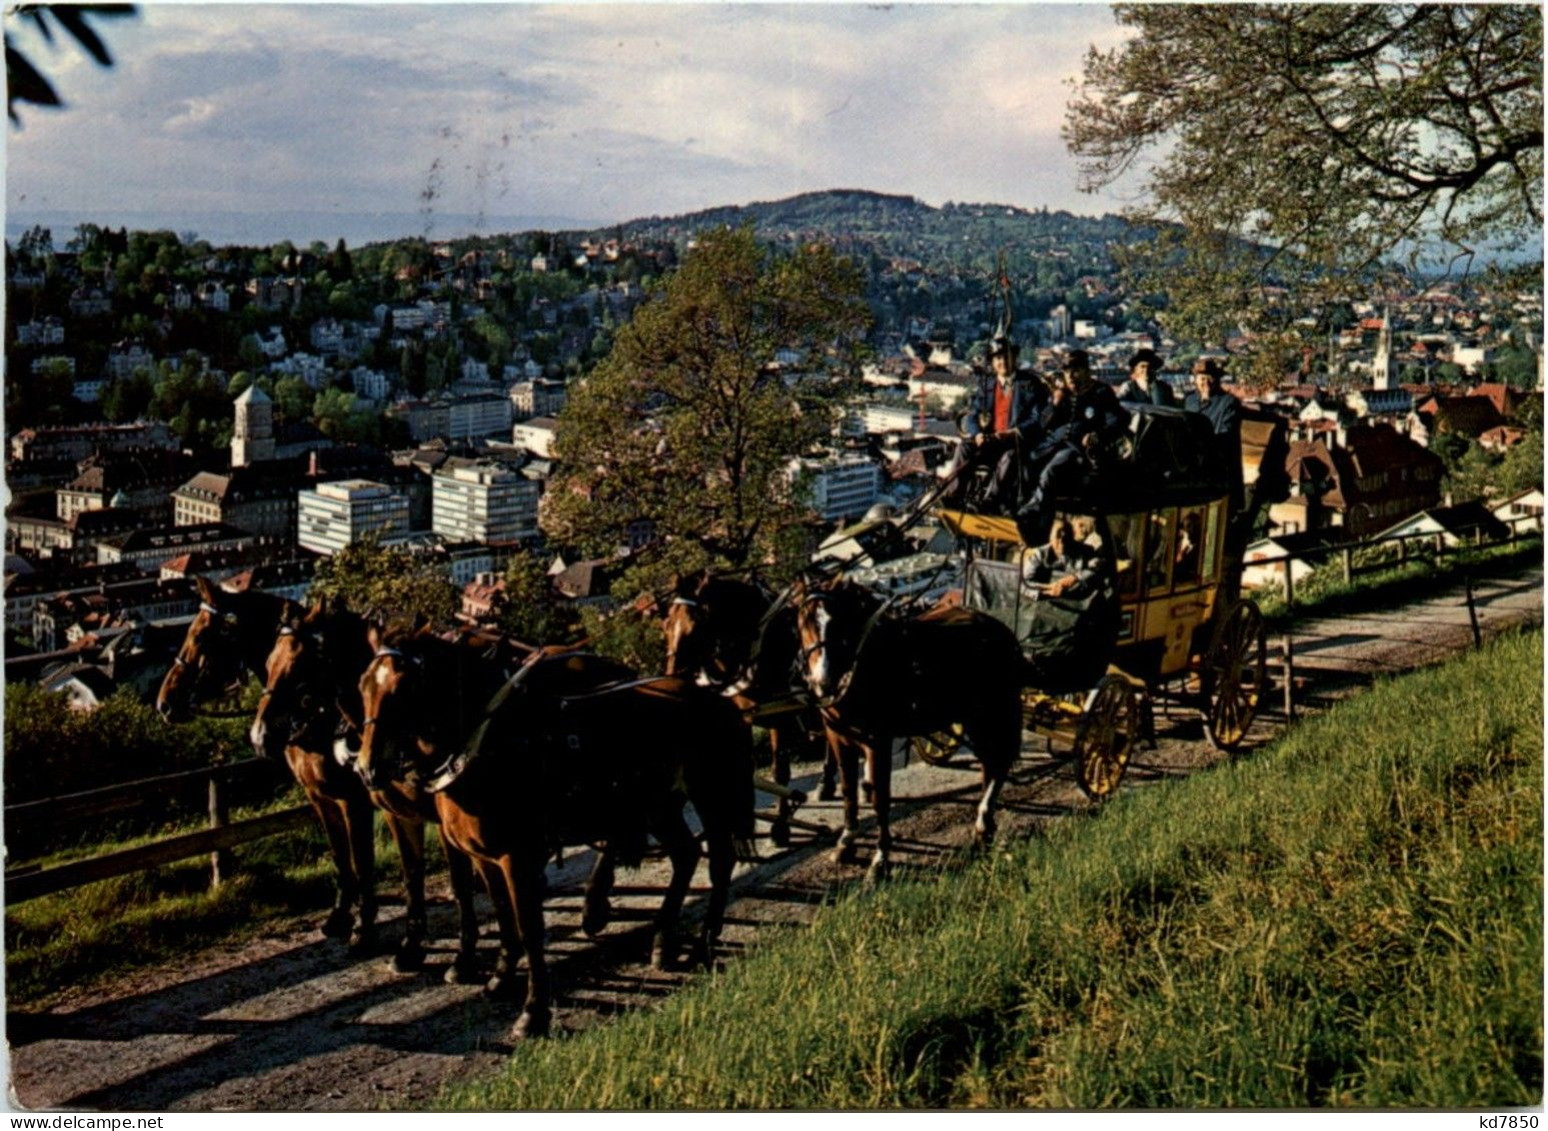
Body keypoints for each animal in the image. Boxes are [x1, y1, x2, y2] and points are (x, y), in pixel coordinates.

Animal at [247, 600, 482, 984]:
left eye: (299, 667)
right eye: (268, 664)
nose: (259, 735)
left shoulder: (355, 802)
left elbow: (364, 860)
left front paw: (365, 928)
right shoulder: (337, 801)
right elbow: (364, 861)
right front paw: (400, 942)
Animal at [352, 625, 761, 1039]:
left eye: (405, 688)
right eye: (363, 686)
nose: (367, 769)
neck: (488, 742)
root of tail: (716, 698)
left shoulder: (517, 856)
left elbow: (529, 926)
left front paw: (534, 1011)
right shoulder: (482, 853)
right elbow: (501, 912)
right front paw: (501, 976)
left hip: (710, 794)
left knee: (719, 862)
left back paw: (702, 945)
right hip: (658, 805)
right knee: (685, 855)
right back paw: (662, 941)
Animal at [662, 569, 842, 847]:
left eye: (695, 629)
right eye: (666, 626)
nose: (671, 677)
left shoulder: (781, 717)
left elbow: (780, 771)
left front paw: (781, 826)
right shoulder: (744, 718)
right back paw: (826, 782)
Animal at [792, 578, 1021, 878]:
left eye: (838, 621)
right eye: (803, 621)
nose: (823, 680)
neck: (860, 665)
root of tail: (1000, 629)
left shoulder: (877, 740)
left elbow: (880, 797)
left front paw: (880, 858)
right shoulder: (839, 737)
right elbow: (849, 791)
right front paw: (846, 842)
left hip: (991, 711)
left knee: (999, 760)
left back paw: (983, 820)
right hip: (975, 716)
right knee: (990, 762)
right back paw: (985, 824)